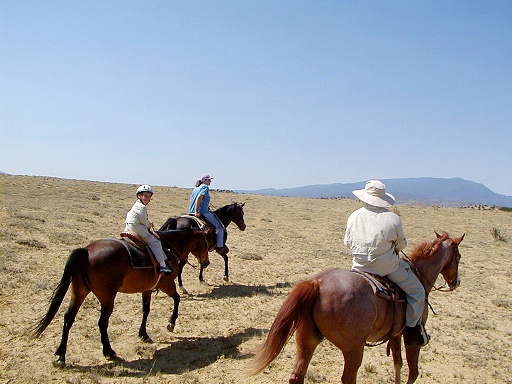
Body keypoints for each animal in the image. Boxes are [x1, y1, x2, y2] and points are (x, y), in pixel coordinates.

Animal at [32, 230, 209, 368]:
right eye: (206, 243)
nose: (206, 262)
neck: (169, 247)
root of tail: (86, 251)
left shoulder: (147, 289)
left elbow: (146, 310)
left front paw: (143, 334)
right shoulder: (167, 284)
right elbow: (177, 299)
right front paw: (171, 323)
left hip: (79, 293)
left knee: (69, 318)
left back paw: (61, 356)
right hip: (107, 298)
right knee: (102, 322)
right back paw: (109, 351)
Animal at [250, 231, 466, 384]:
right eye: (459, 256)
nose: (456, 282)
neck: (420, 276)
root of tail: (317, 283)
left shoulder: (395, 334)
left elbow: (397, 364)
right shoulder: (411, 337)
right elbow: (412, 372)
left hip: (306, 340)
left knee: (297, 375)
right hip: (353, 349)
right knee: (348, 378)